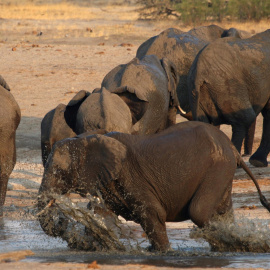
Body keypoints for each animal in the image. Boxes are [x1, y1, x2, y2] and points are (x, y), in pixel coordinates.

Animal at [37, 121, 270, 252]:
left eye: (59, 172)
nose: (61, 220)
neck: (87, 138)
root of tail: (232, 147)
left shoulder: (131, 178)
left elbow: (153, 212)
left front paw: (165, 253)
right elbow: (103, 216)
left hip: (217, 167)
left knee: (199, 212)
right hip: (222, 171)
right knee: (223, 211)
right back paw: (229, 245)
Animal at [187, 29, 270, 168]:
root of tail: (199, 72)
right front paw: (258, 162)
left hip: (197, 93)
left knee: (206, 123)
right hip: (229, 86)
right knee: (245, 118)